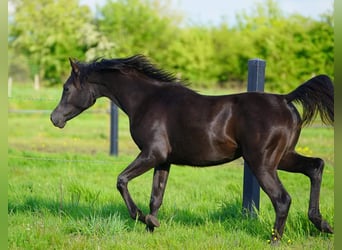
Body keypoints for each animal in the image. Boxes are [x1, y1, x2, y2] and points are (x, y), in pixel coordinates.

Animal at [49, 54, 332, 242]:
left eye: (66, 88)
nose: (55, 118)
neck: (146, 100)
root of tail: (285, 100)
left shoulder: (152, 153)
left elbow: (121, 181)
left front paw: (140, 217)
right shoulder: (163, 160)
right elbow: (156, 197)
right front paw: (151, 226)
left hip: (262, 163)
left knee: (282, 199)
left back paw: (275, 239)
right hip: (283, 158)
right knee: (316, 166)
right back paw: (322, 224)